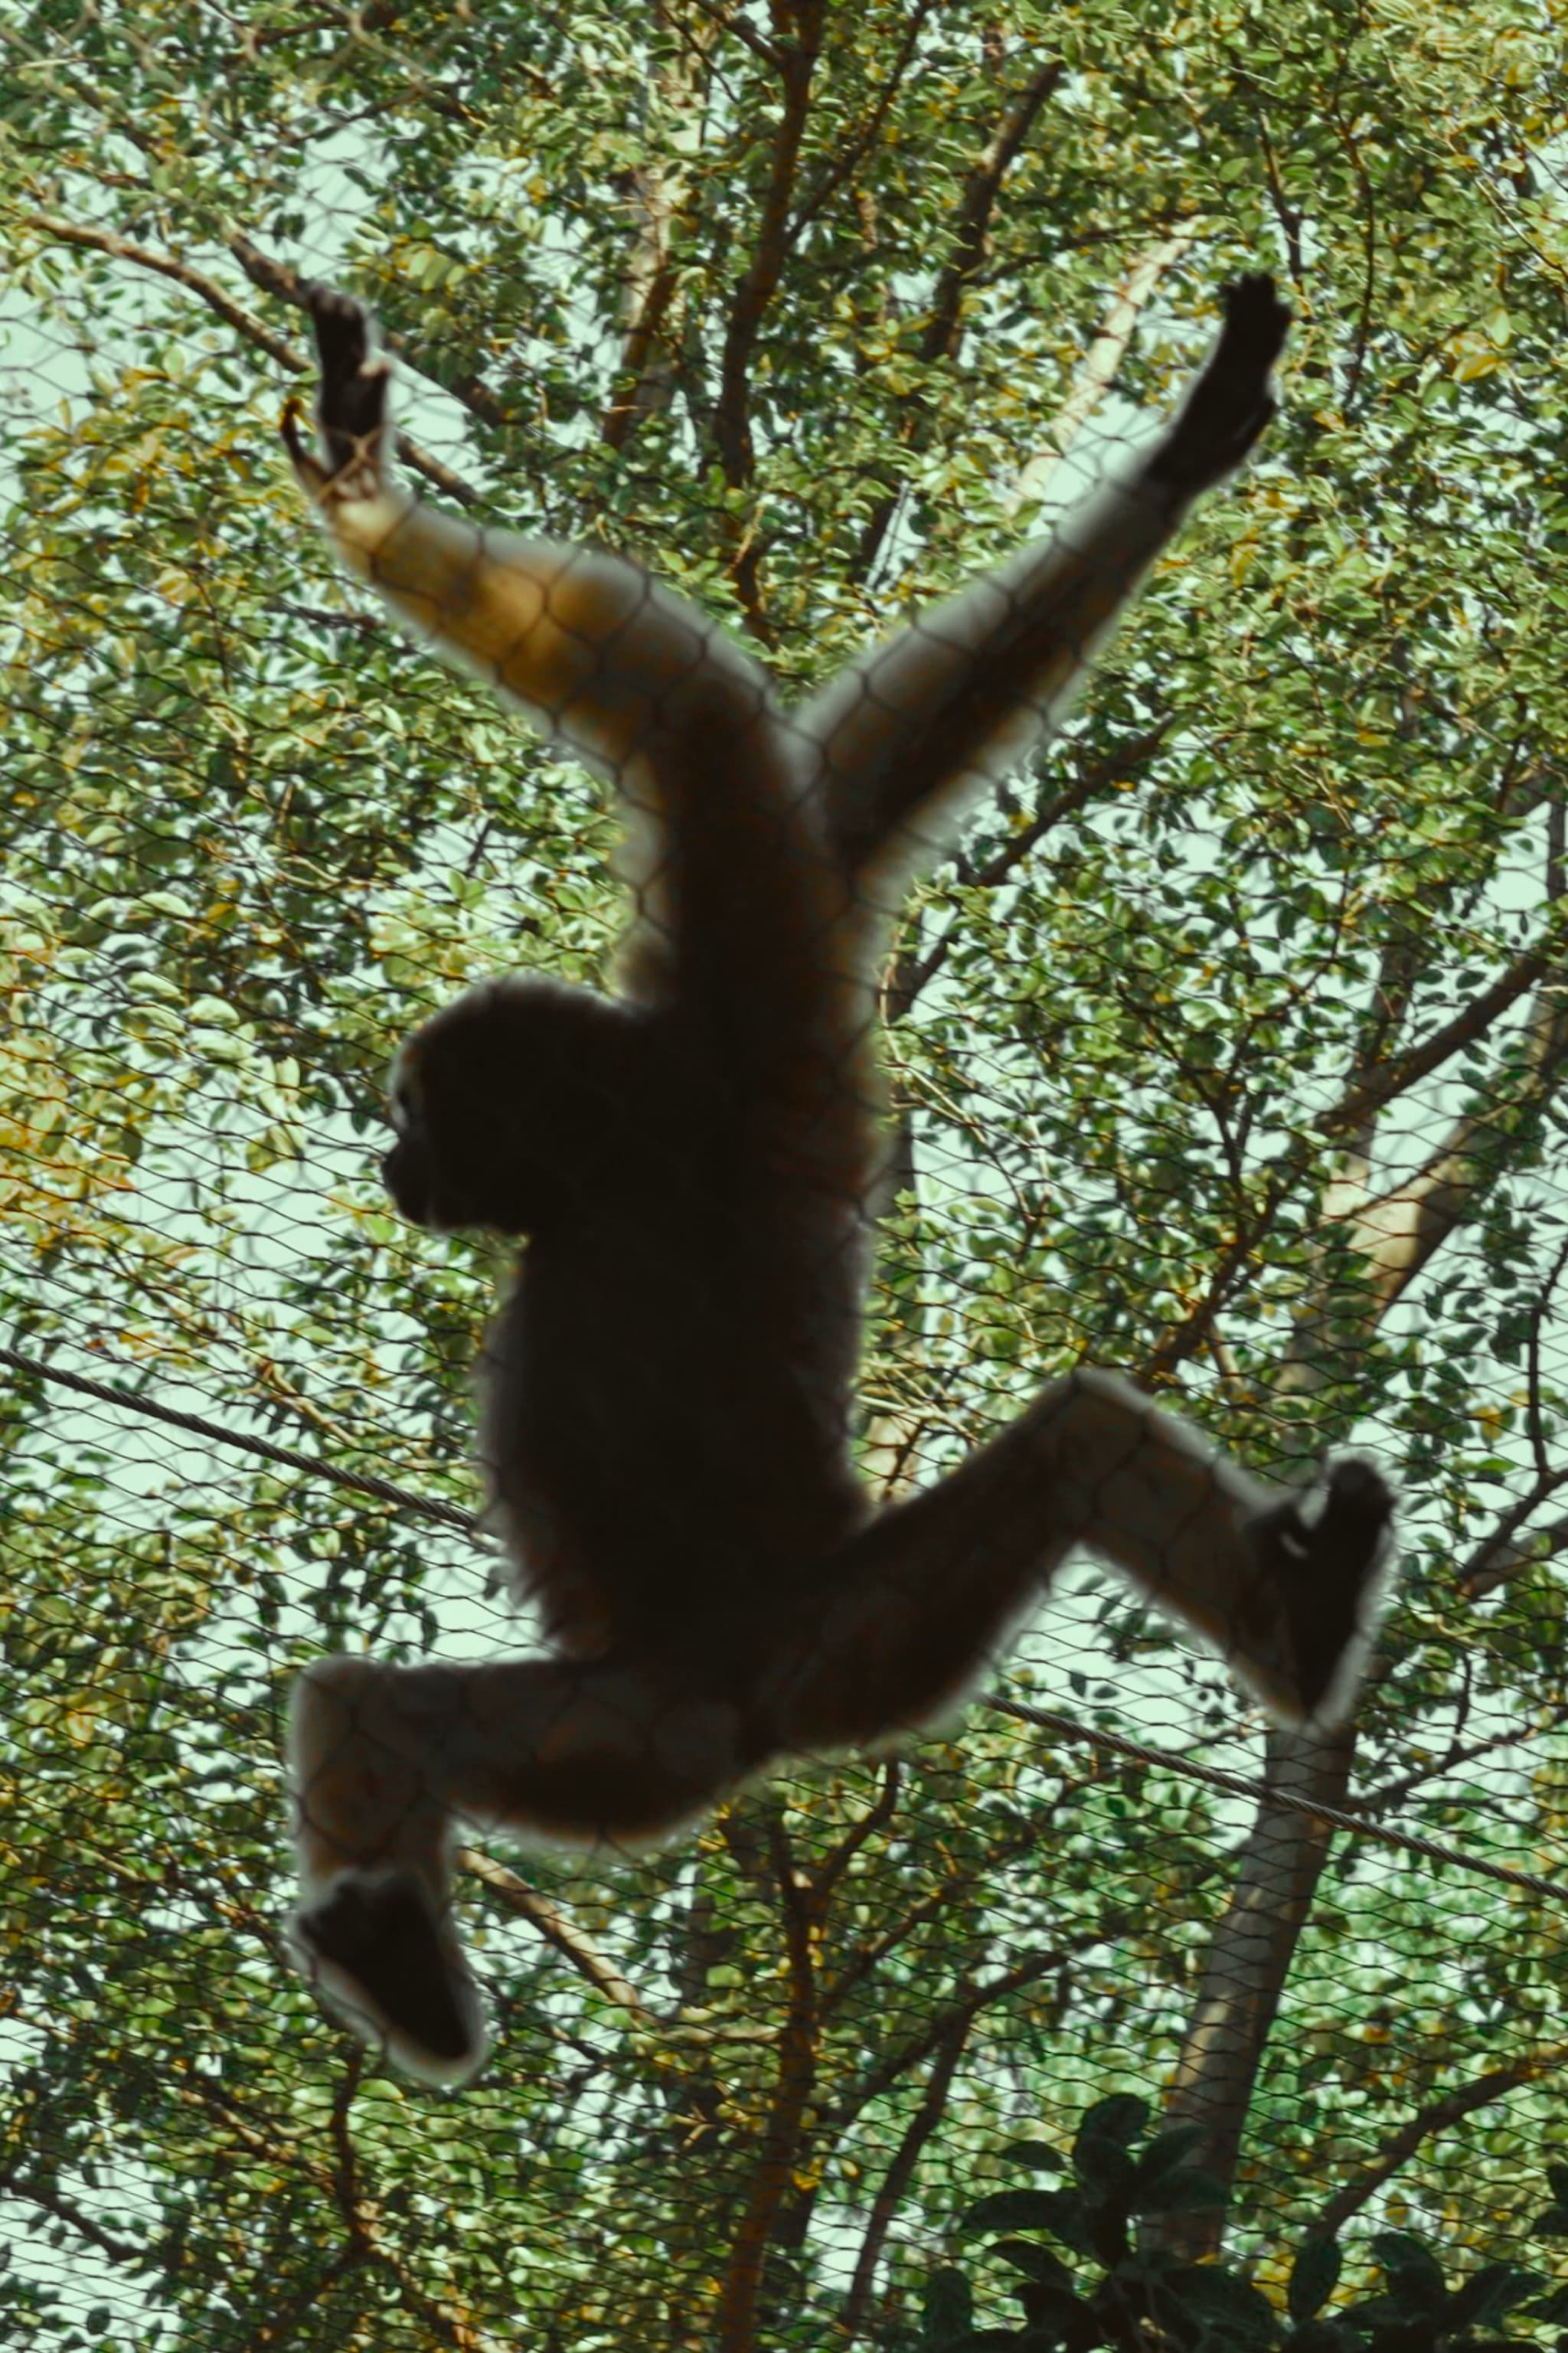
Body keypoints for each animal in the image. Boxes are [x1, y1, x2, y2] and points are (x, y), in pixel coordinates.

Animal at [281, 275, 1393, 2080]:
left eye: (418, 1119)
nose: (391, 1161)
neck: (622, 1163)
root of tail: (761, 1704)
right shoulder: (765, 1050)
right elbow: (835, 813)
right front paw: (1191, 445)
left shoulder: (731, 1041)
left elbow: (690, 717)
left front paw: (369, 492)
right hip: (878, 1640)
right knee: (1077, 1444)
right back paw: (1298, 1620)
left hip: (631, 1729)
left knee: (364, 1702)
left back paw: (398, 1968)